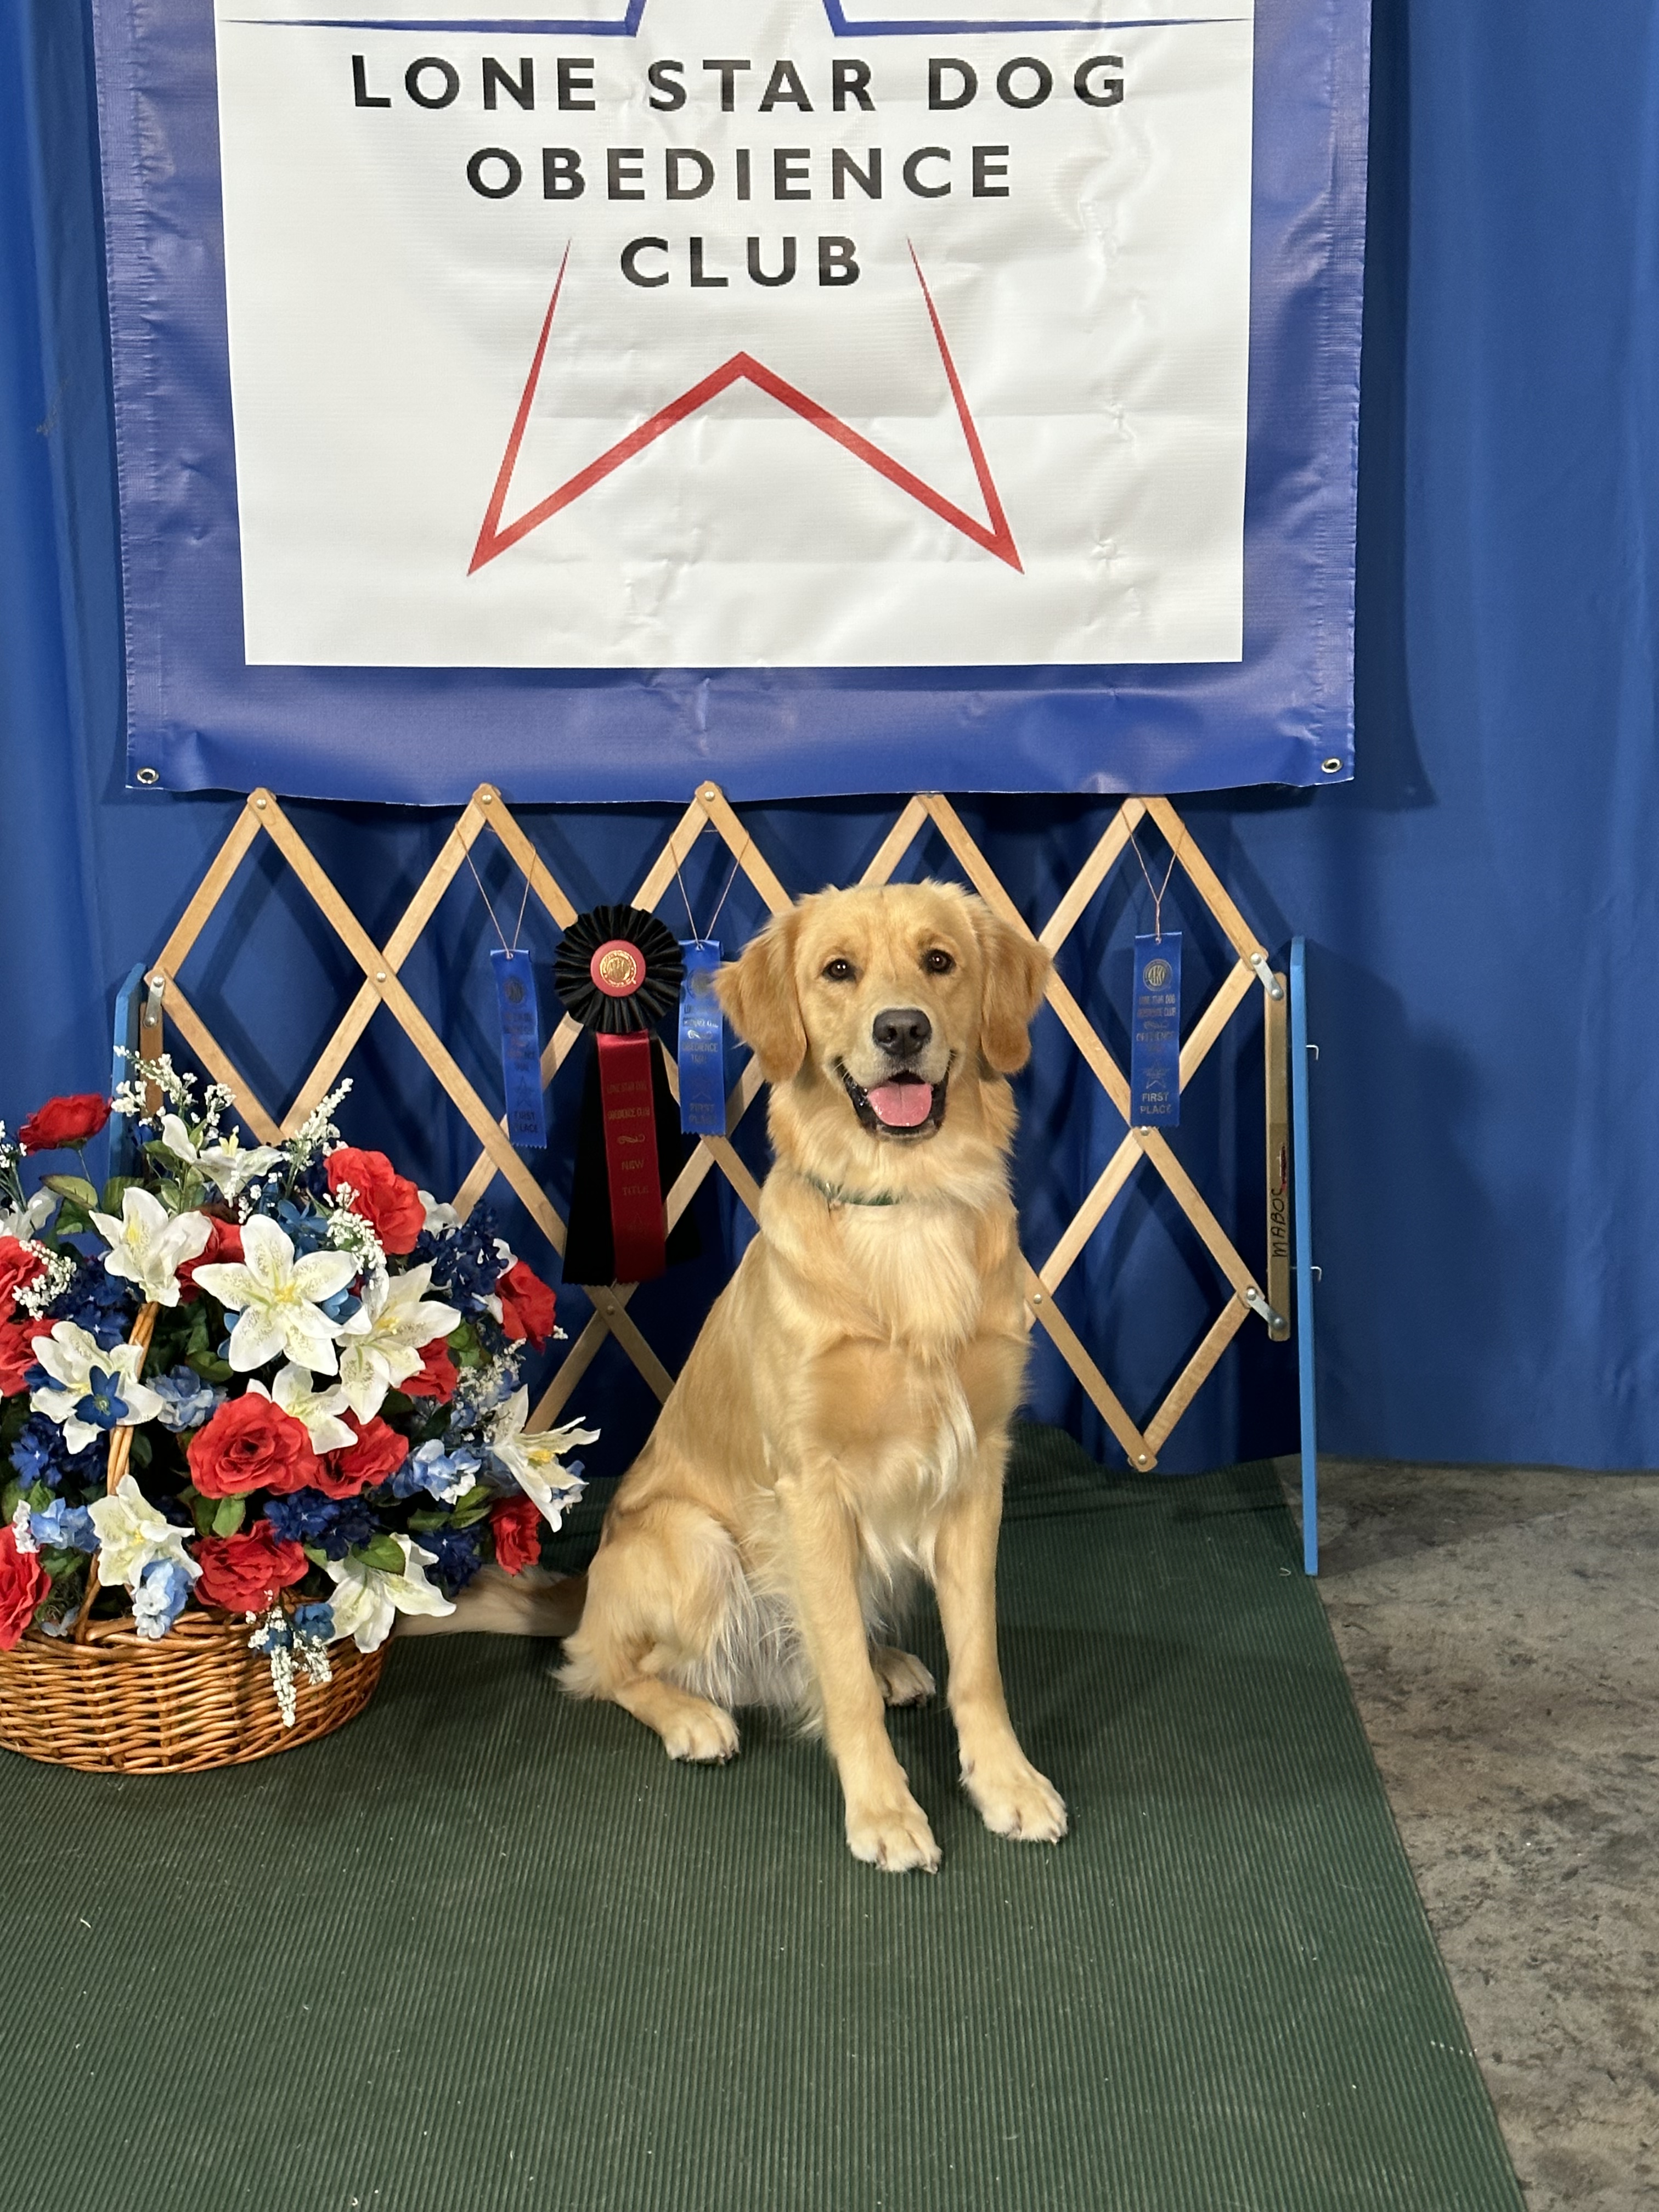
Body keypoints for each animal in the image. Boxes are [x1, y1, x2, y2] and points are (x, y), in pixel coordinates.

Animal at [559, 880, 1067, 1873]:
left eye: (939, 961)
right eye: (838, 970)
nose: (902, 1029)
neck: (905, 1205)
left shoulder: (975, 1469)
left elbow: (978, 1662)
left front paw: (1005, 1781)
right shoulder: (810, 1486)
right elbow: (836, 1675)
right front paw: (883, 1809)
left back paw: (893, 1664)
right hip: (694, 1545)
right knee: (611, 1667)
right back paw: (691, 1715)